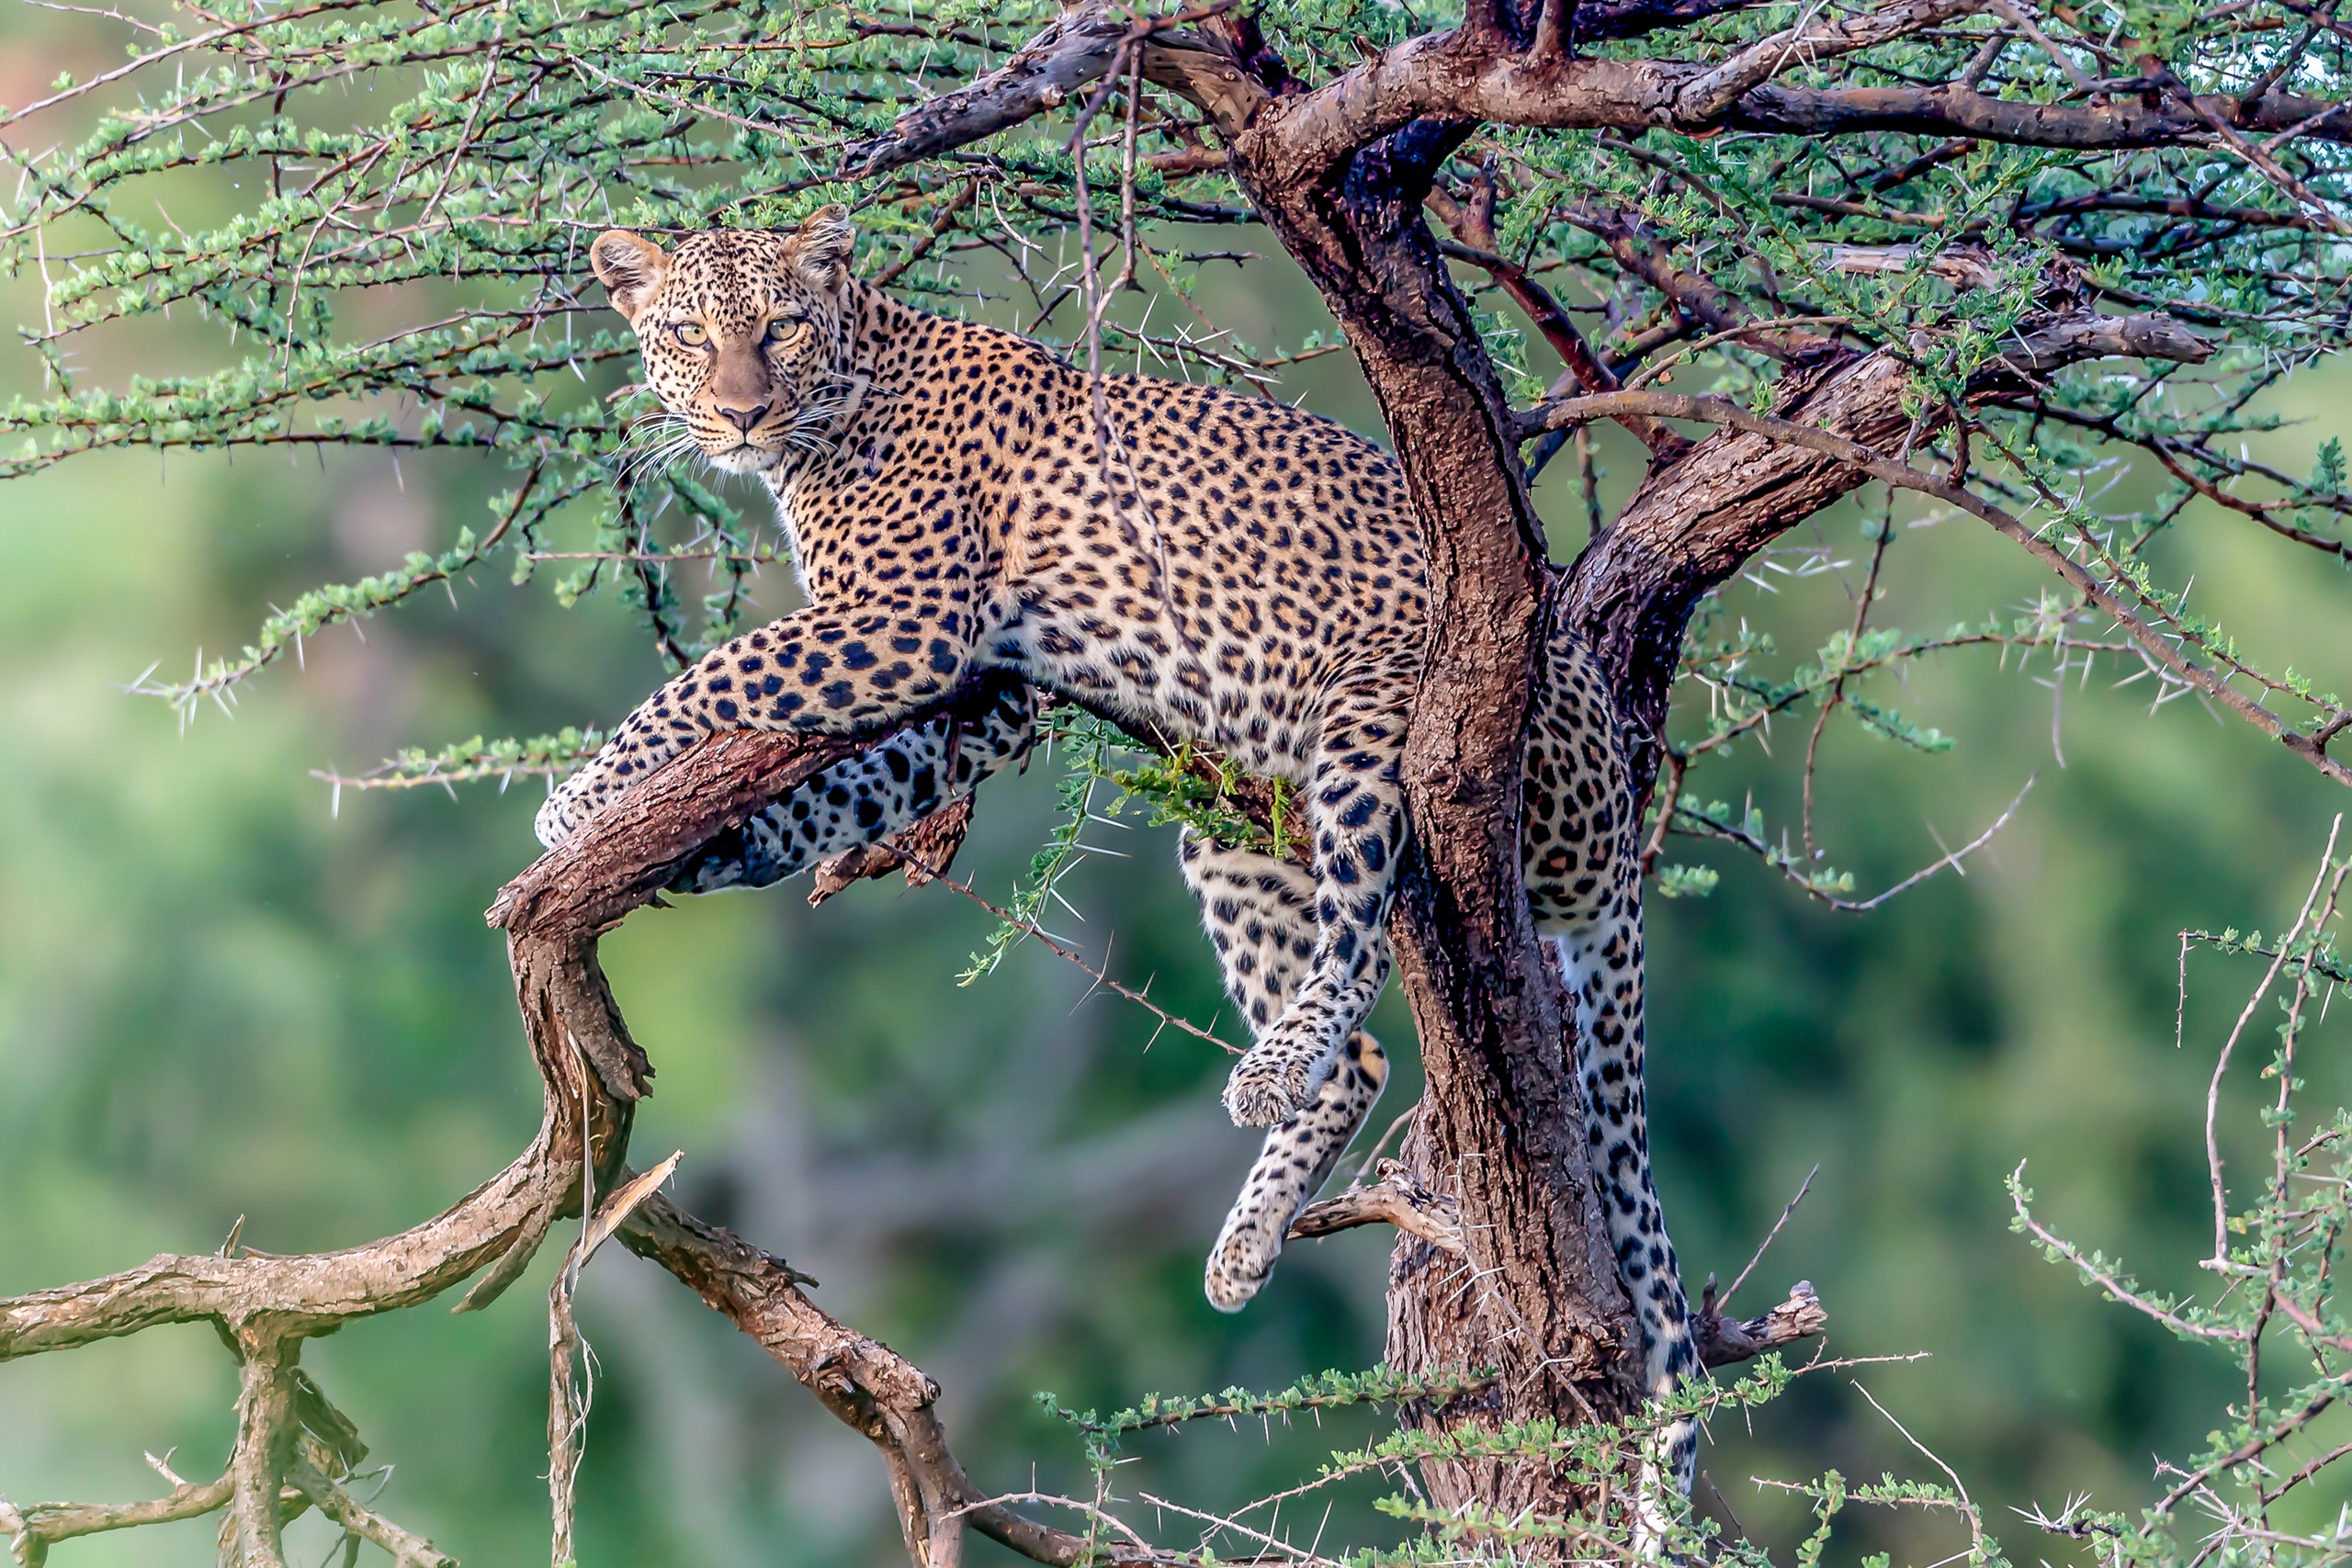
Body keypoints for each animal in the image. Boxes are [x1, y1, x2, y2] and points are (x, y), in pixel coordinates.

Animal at [540, 208, 1702, 1485]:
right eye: (691, 336)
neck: (841, 399)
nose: (742, 412)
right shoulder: (982, 693)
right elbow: (839, 783)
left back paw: (1274, 1069)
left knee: (1359, 934)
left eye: (780, 327)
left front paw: (576, 800)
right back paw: (1243, 1242)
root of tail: (1617, 812)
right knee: (1362, 1060)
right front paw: (705, 841)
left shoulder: (901, 625)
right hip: (1236, 832)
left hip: (1379, 707)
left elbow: (708, 677)